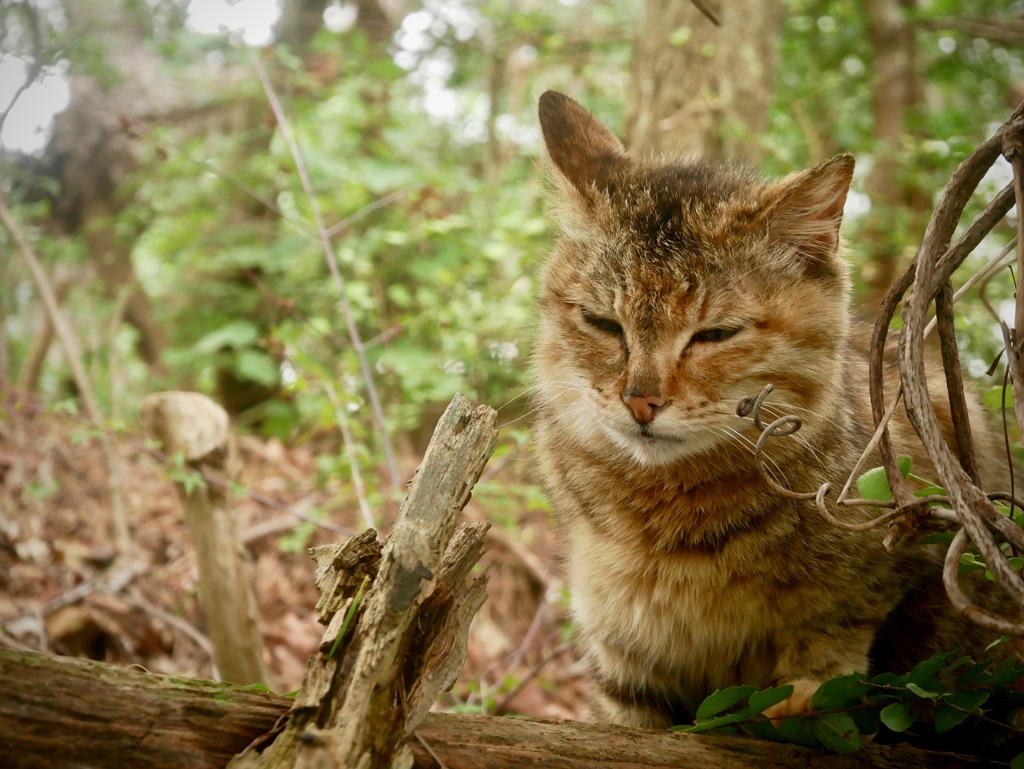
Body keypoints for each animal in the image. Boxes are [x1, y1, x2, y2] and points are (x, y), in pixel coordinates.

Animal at [532, 88, 1019, 729]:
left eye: (715, 334)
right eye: (603, 324)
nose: (640, 400)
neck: (665, 519)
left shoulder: (869, 596)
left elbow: (820, 671)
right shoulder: (622, 665)